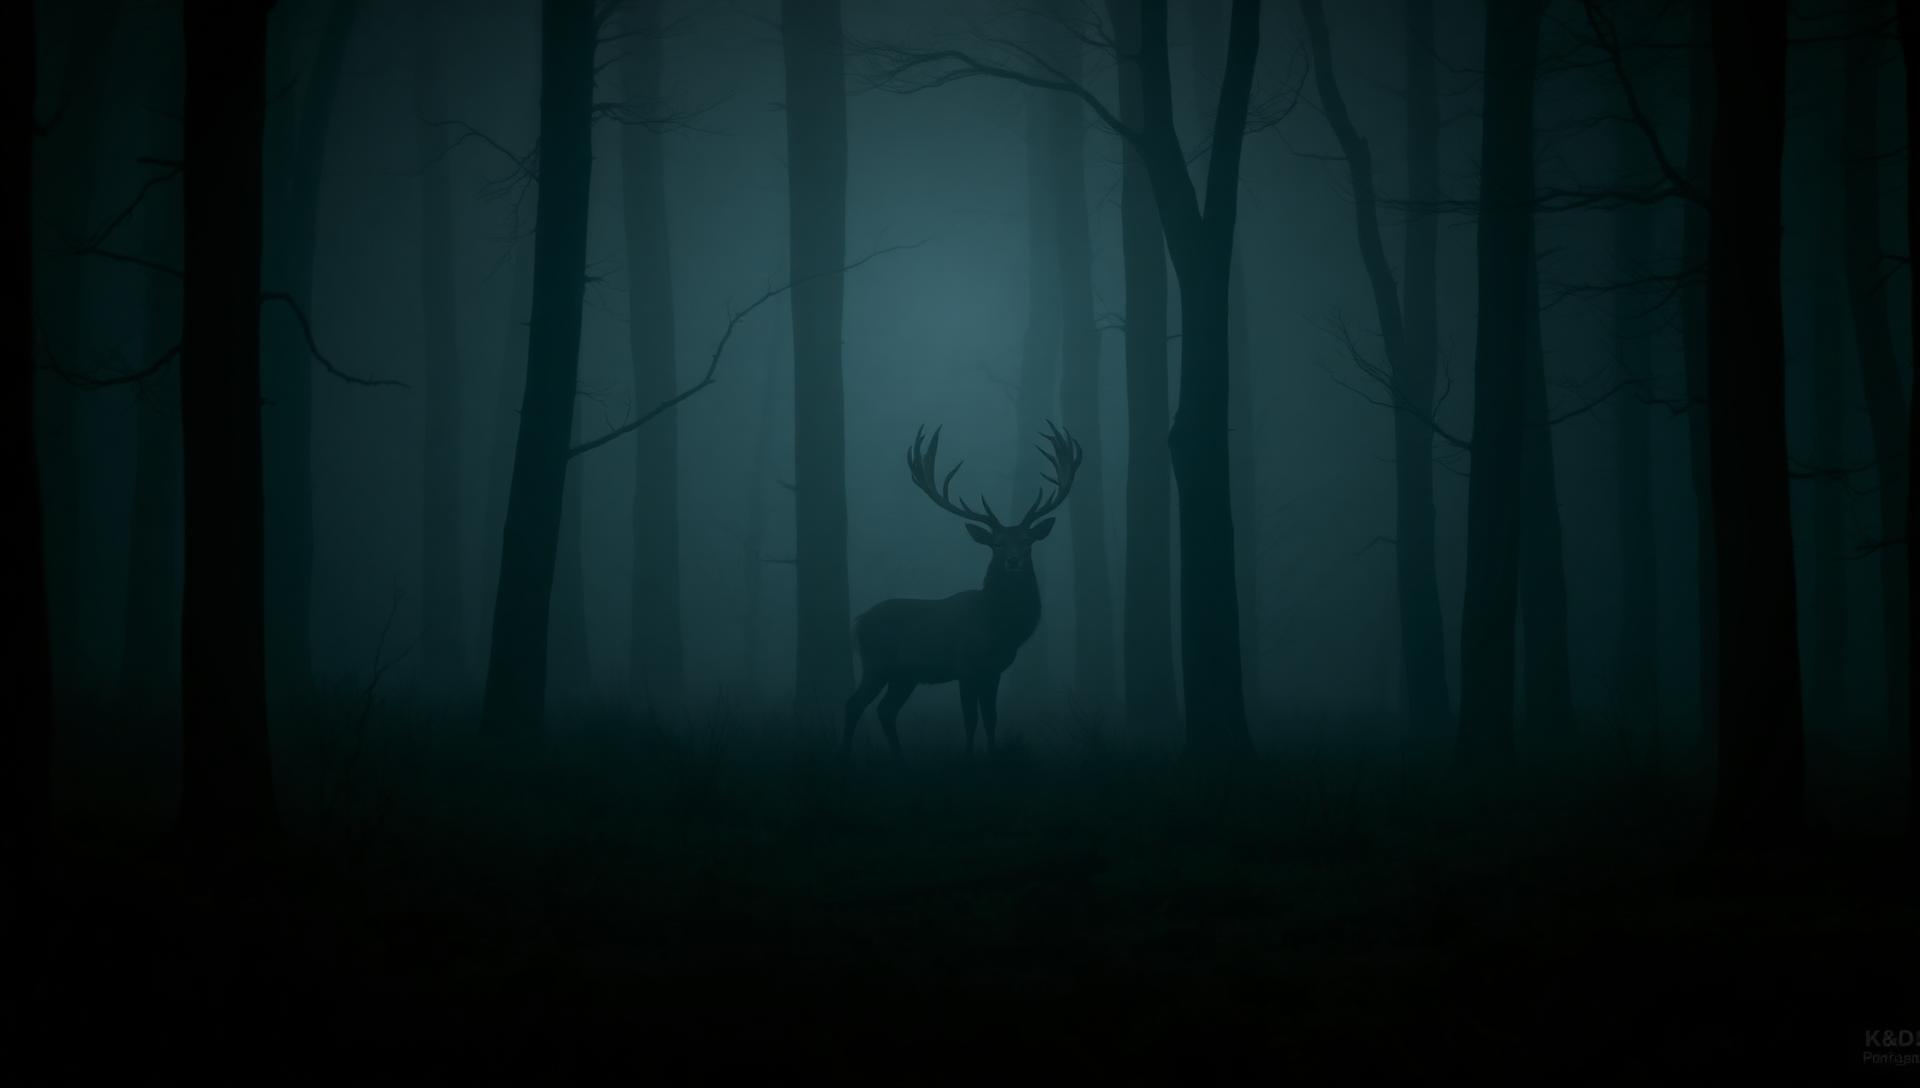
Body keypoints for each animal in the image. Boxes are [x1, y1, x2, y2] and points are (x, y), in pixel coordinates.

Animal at [843, 421, 1083, 758]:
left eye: (1028, 542)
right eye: (997, 544)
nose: (1013, 561)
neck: (997, 628)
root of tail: (859, 620)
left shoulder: (994, 670)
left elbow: (991, 719)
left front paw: (993, 754)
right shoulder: (966, 666)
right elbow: (970, 720)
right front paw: (969, 756)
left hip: (905, 675)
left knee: (886, 710)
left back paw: (899, 757)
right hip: (877, 662)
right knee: (854, 704)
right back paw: (846, 752)